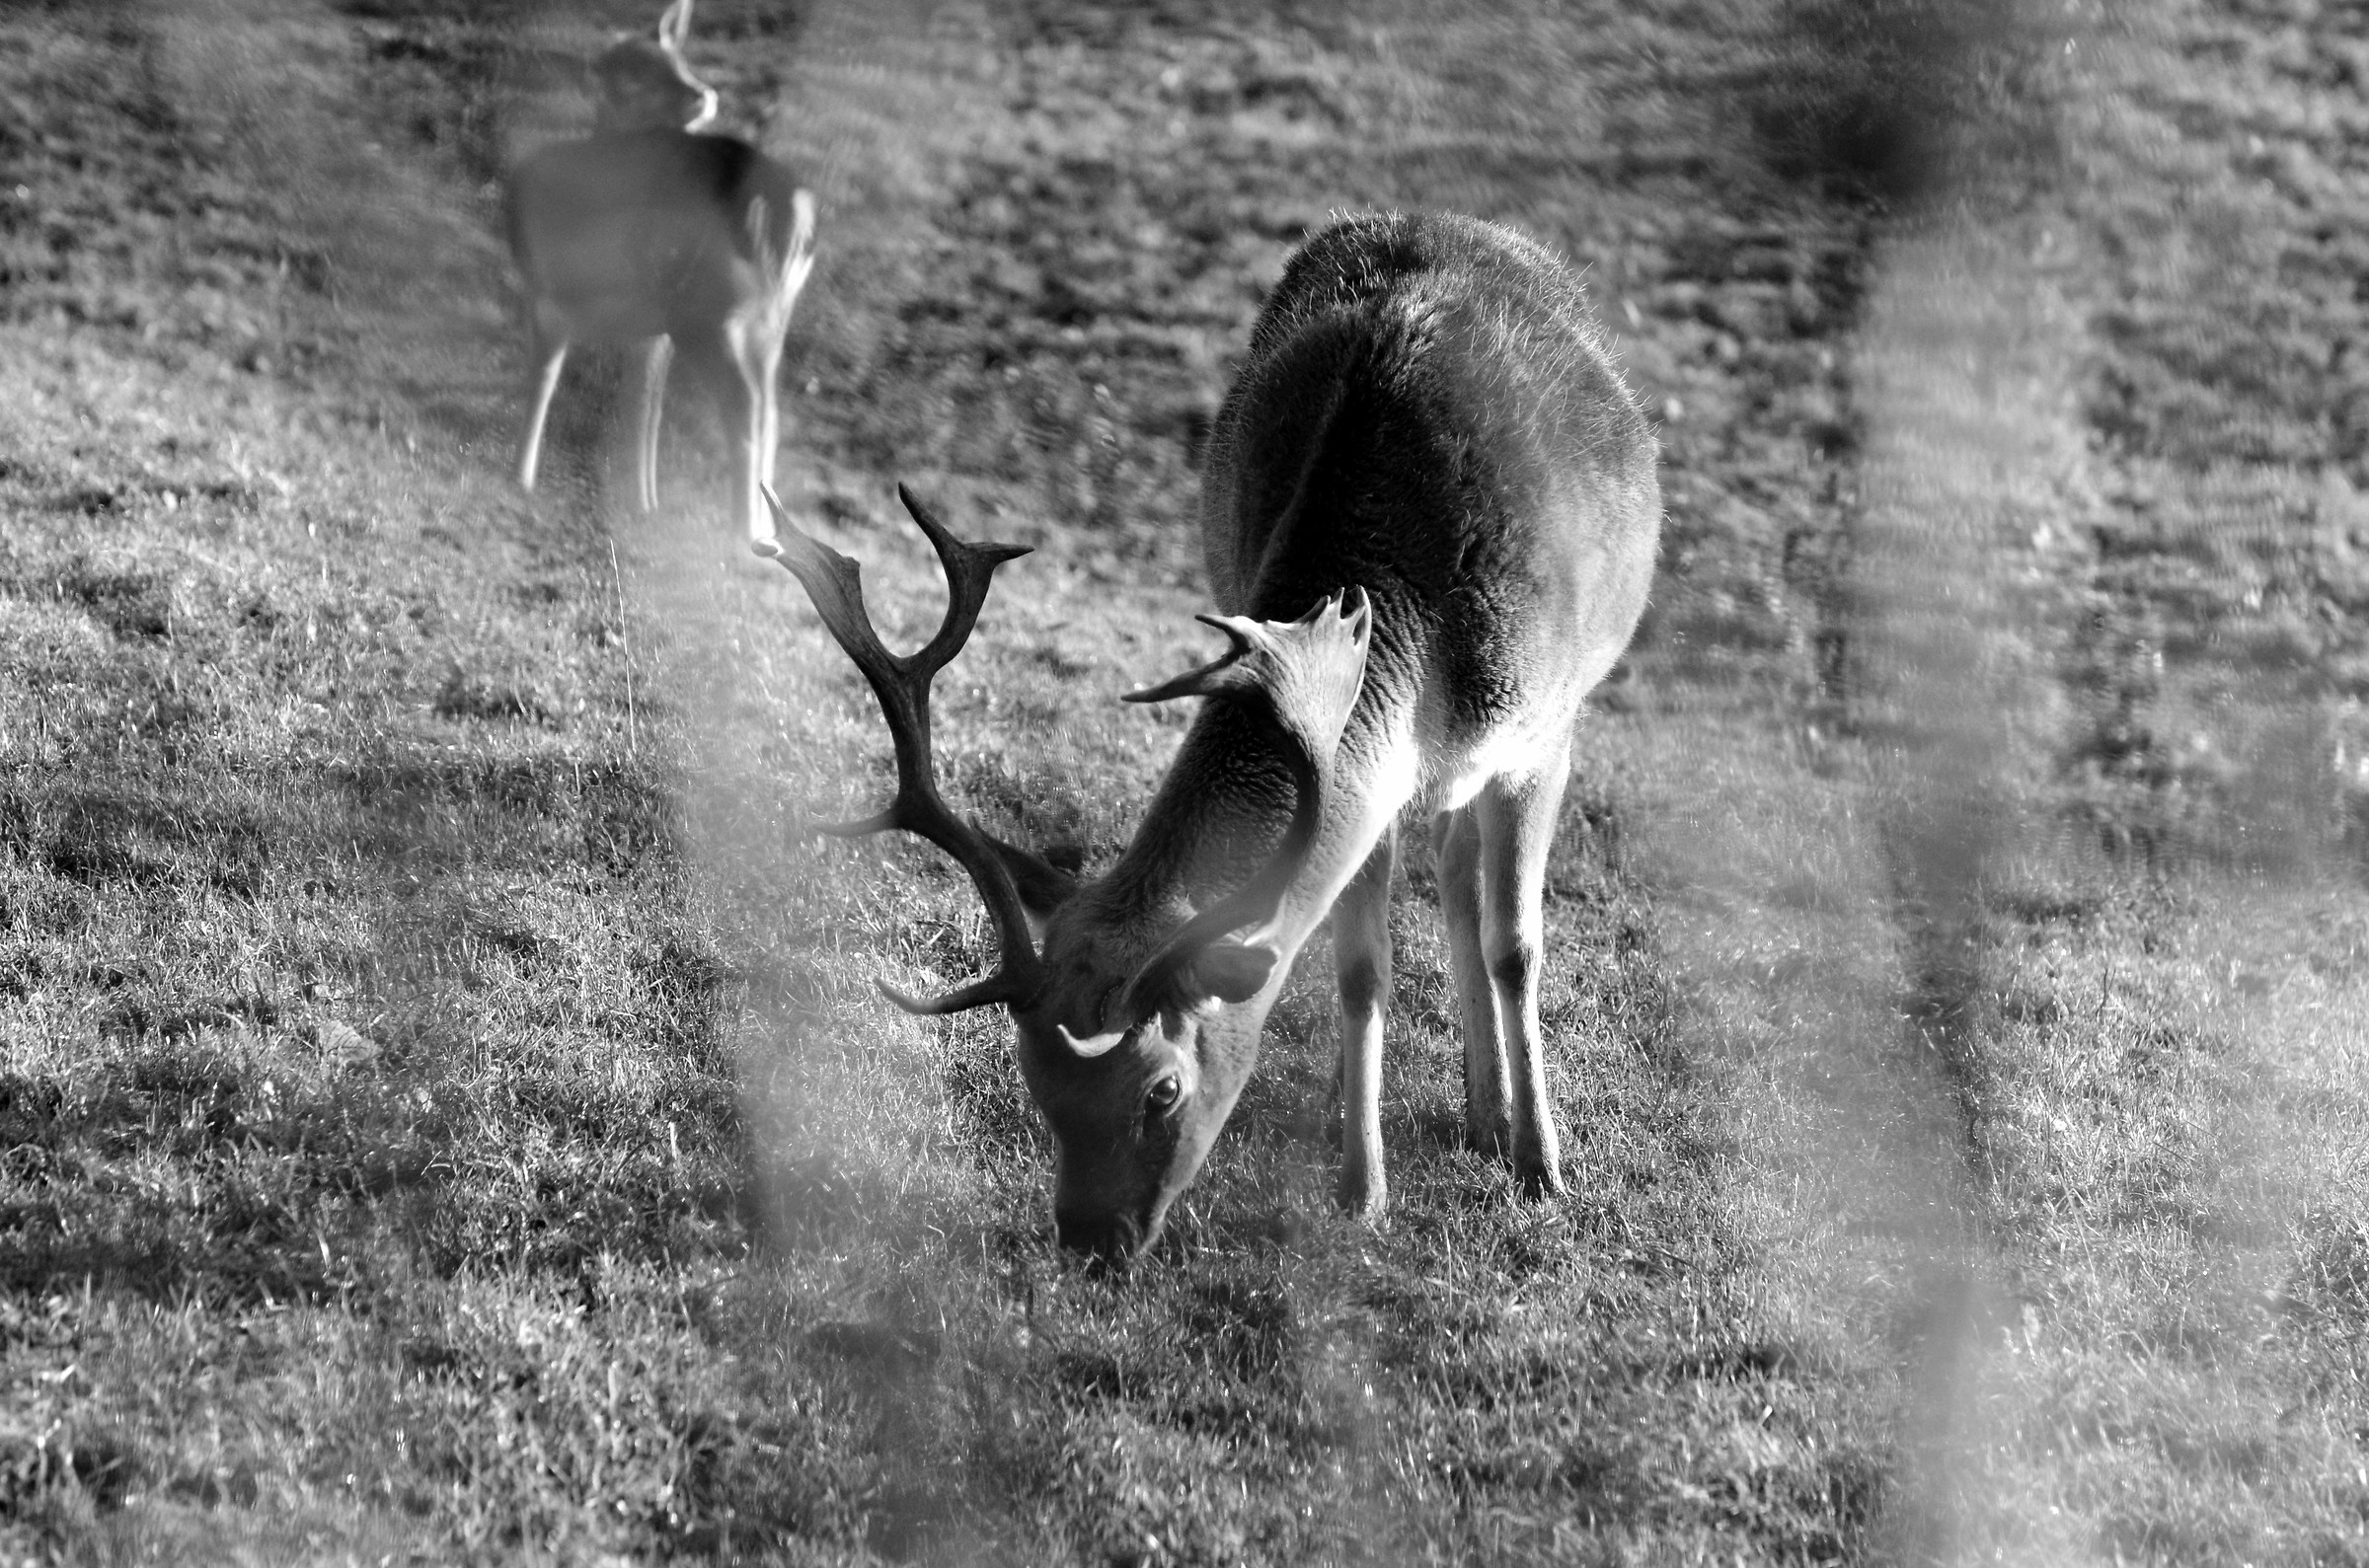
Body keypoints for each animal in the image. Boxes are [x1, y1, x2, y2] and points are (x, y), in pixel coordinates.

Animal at [504, 0, 816, 547]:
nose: (701, 93)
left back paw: (742, 535)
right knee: (771, 411)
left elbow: (544, 376)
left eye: (678, 59)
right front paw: (641, 501)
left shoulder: (546, 296)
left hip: (704, 311)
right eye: (630, 77)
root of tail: (786, 207)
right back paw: (770, 531)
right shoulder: (648, 332)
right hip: (764, 318)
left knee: (744, 407)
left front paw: (520, 477)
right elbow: (641, 406)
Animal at [762, 211, 1661, 1263]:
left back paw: (1504, 1126)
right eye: (1032, 1078)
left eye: (1163, 1088)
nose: (1090, 1238)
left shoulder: (1541, 734)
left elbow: (1518, 947)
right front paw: (1364, 1188)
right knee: (1452, 876)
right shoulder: (1369, 779)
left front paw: (1542, 1168)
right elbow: (1363, 971)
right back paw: (1478, 1114)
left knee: (1480, 898)